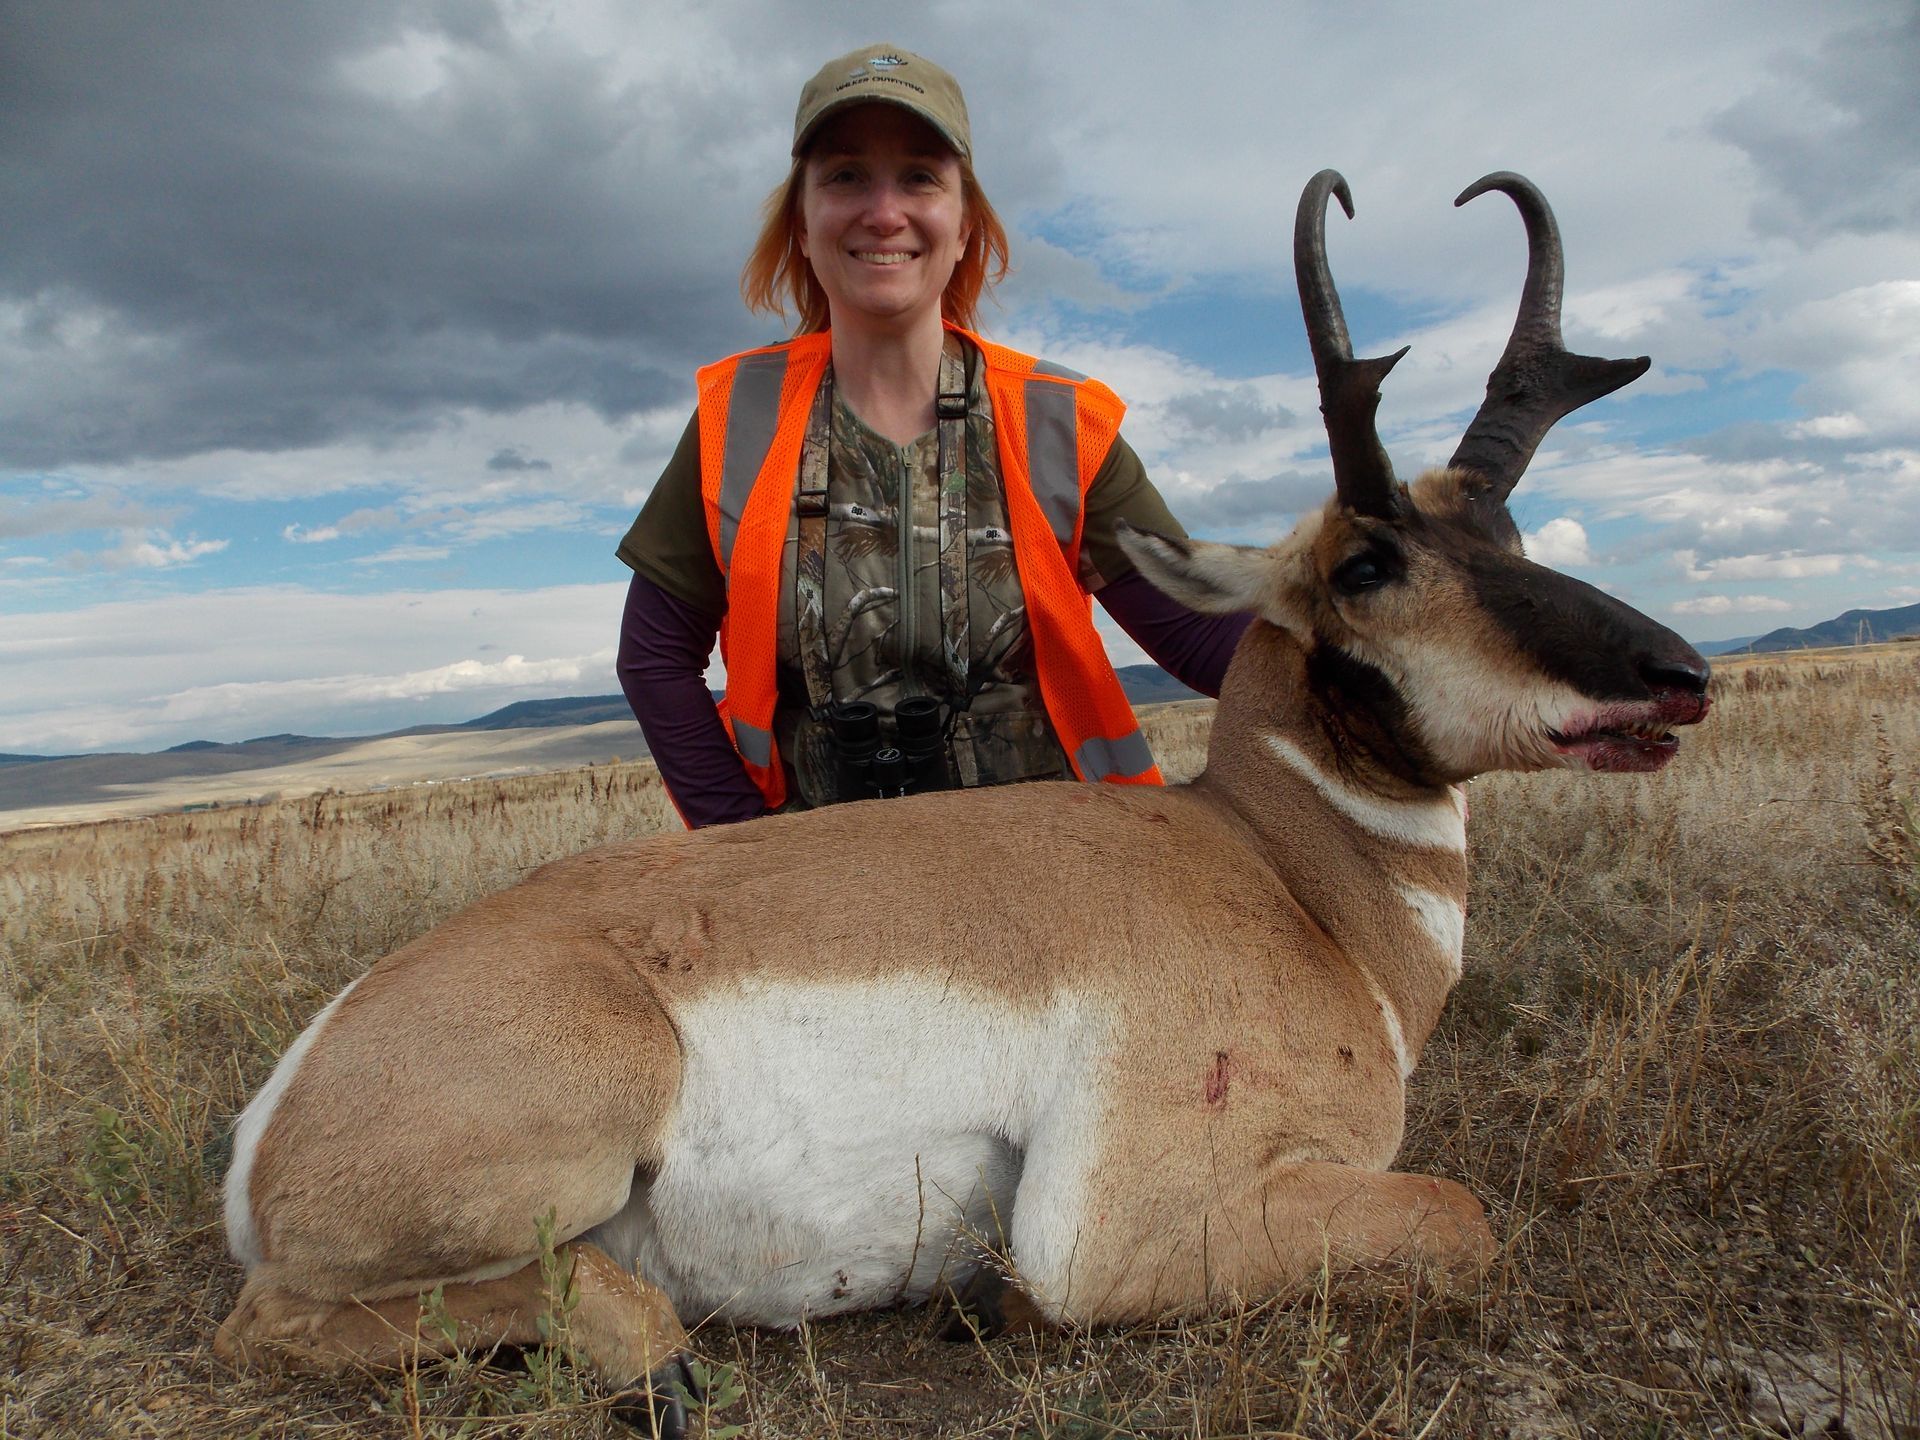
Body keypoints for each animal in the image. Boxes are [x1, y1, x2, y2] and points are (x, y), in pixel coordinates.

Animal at [215, 170, 1710, 1433]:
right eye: (1365, 565)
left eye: (1507, 534)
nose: (1679, 675)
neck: (1283, 875)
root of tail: (284, 1101)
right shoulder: (1115, 1227)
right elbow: (1463, 1216)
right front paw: (995, 1300)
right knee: (283, 1320)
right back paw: (662, 1359)